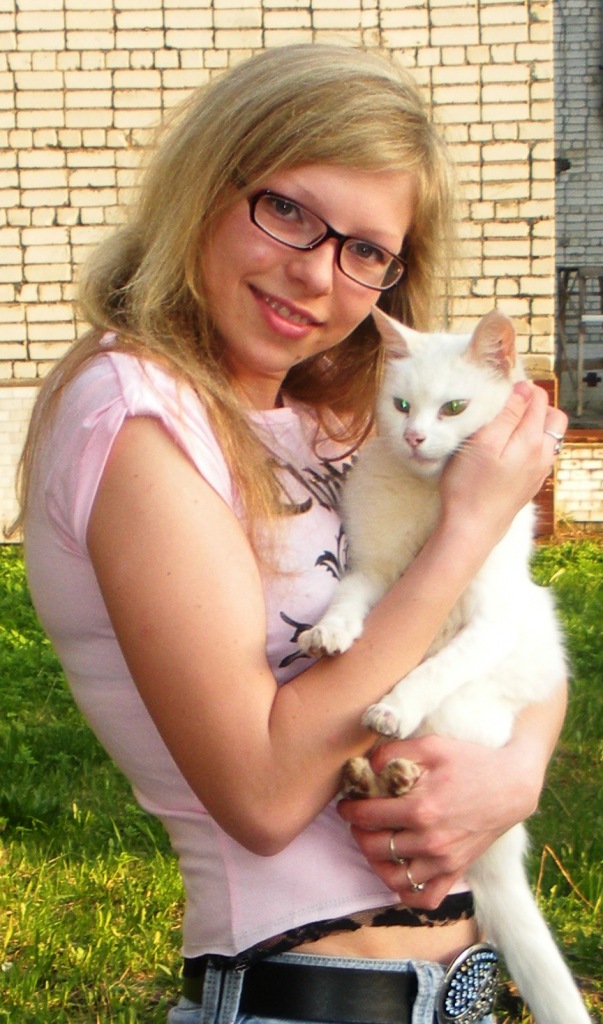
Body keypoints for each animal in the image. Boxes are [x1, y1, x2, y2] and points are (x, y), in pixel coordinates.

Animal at [298, 307, 591, 1024]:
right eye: (401, 404)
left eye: (454, 408)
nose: (415, 436)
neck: (431, 507)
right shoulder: (371, 575)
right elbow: (348, 606)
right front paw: (328, 635)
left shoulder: (488, 623)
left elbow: (430, 671)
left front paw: (391, 706)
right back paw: (364, 777)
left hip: (466, 712)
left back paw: (395, 770)